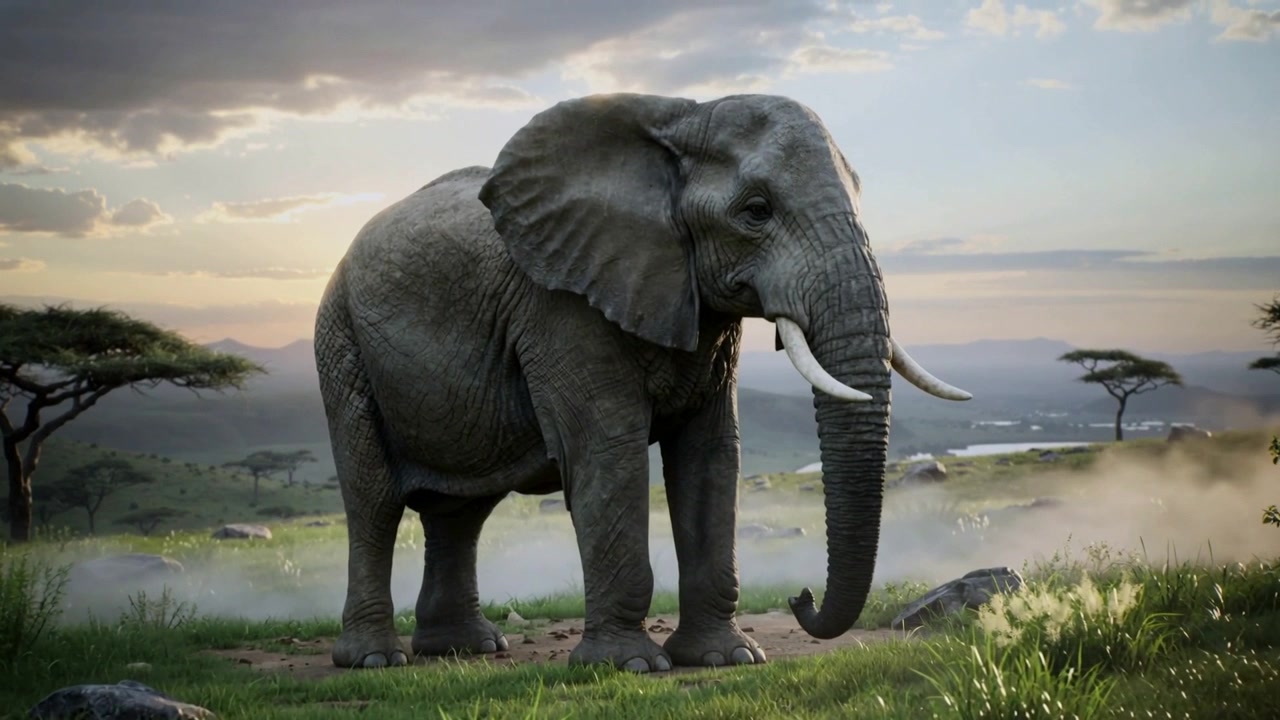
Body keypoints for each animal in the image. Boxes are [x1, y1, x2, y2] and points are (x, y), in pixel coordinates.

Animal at [313, 92, 971, 672]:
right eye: (756, 211)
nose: (799, 597)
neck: (679, 118)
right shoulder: (561, 302)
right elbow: (609, 448)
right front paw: (627, 665)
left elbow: (711, 455)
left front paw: (725, 658)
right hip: (341, 343)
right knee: (375, 500)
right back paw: (375, 659)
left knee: (462, 510)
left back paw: (464, 649)